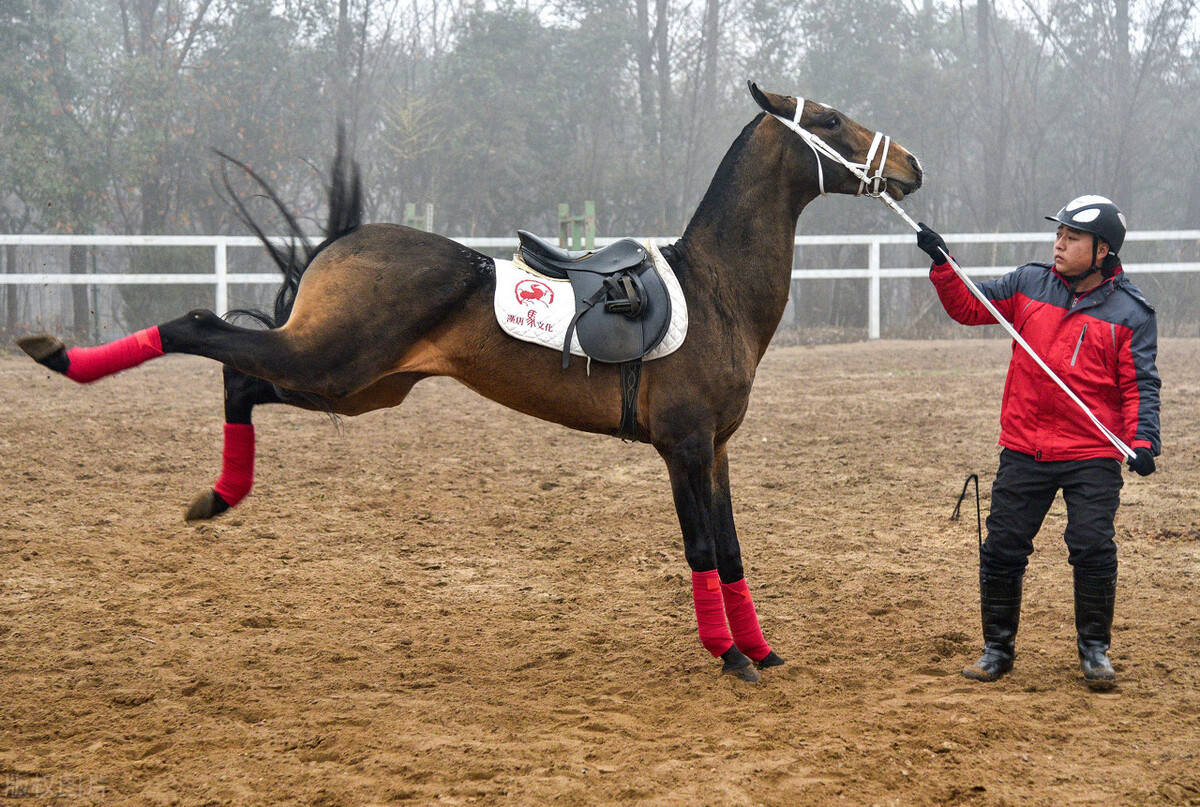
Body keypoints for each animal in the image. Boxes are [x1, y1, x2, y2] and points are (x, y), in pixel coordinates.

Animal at [18, 83, 921, 682]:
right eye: (828, 119)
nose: (910, 164)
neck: (714, 288)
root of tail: (346, 241)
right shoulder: (684, 447)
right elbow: (703, 547)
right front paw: (729, 653)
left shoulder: (718, 450)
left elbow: (731, 547)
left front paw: (758, 644)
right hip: (331, 362)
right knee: (200, 330)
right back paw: (63, 358)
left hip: (356, 383)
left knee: (241, 379)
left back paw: (220, 492)